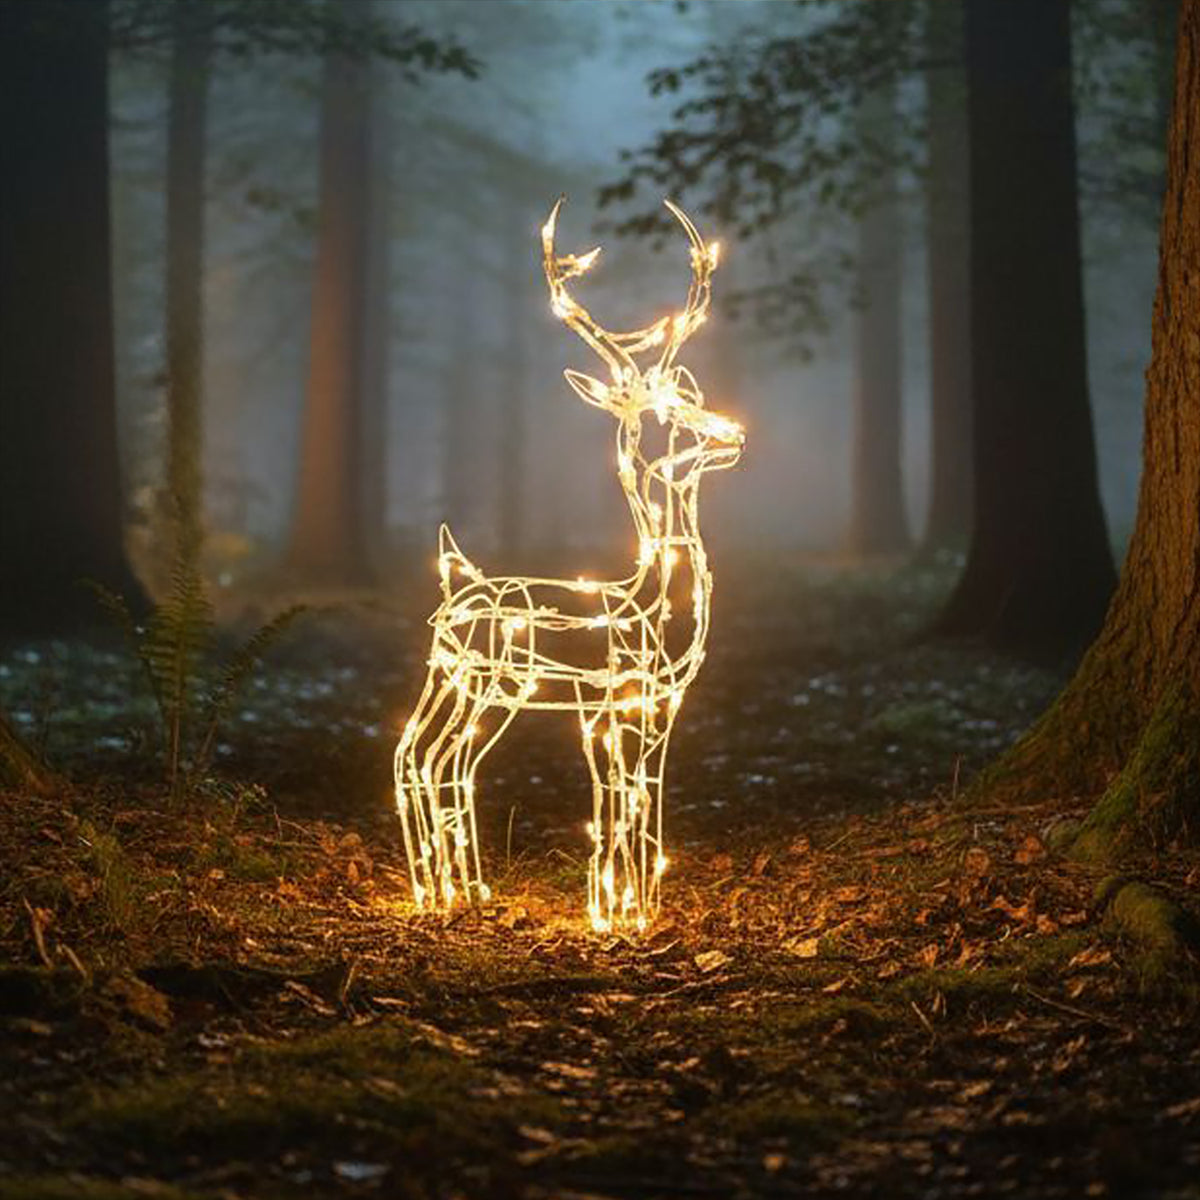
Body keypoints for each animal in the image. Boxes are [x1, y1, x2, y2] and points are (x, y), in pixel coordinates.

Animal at [394, 197, 744, 932]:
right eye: (672, 415)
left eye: (692, 398)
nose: (735, 434)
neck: (654, 605)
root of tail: (452, 581)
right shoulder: (629, 696)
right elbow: (625, 796)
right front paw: (625, 916)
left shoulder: (637, 705)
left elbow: (630, 798)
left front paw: (628, 909)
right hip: (471, 678)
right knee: (422, 755)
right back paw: (440, 894)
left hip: (476, 684)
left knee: (437, 758)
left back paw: (463, 890)